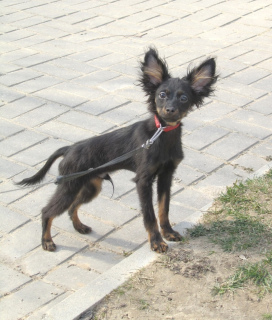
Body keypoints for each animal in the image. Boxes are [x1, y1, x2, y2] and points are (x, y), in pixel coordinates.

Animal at [17, 47, 217, 252]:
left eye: (184, 98)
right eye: (162, 94)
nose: (169, 110)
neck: (161, 133)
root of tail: (70, 148)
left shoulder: (166, 176)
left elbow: (164, 208)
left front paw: (168, 232)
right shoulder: (143, 181)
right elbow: (150, 215)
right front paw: (156, 241)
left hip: (90, 186)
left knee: (72, 207)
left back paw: (79, 226)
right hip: (70, 186)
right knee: (47, 211)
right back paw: (46, 241)